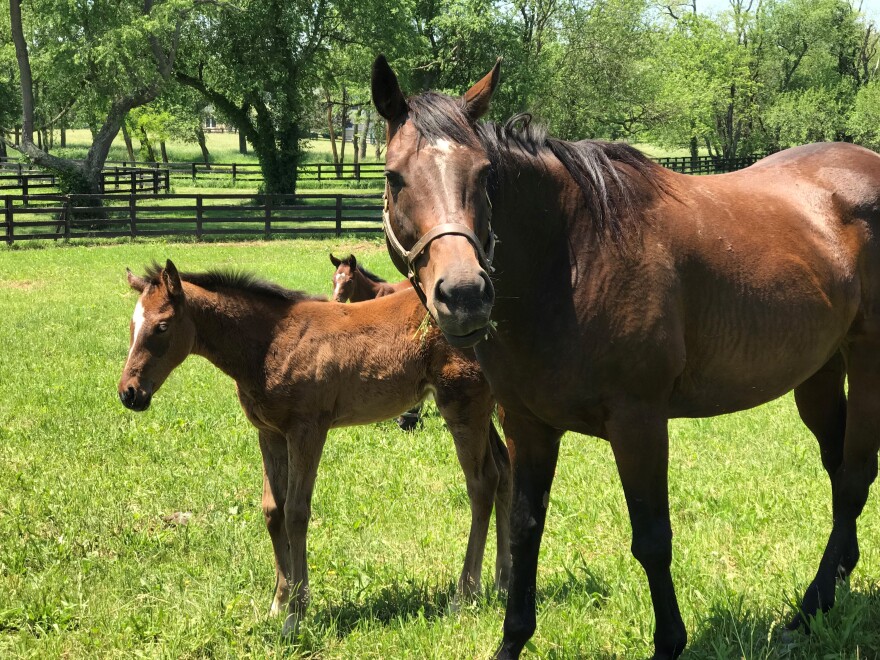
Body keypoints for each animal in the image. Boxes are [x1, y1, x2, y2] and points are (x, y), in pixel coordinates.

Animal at [117, 260, 512, 635]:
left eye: (162, 326)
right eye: (133, 325)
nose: (129, 393)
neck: (270, 344)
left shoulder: (307, 430)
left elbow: (296, 512)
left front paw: (296, 614)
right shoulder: (270, 433)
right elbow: (273, 510)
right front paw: (279, 602)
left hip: (462, 406)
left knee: (481, 483)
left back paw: (465, 594)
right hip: (483, 409)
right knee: (504, 472)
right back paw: (502, 582)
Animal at [371, 53, 880, 659]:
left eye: (485, 174)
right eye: (394, 176)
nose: (466, 294)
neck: (572, 259)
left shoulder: (639, 422)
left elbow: (652, 539)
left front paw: (670, 642)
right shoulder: (527, 423)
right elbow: (525, 529)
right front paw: (511, 641)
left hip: (869, 362)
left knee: (853, 478)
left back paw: (808, 609)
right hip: (819, 372)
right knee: (839, 468)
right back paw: (831, 587)